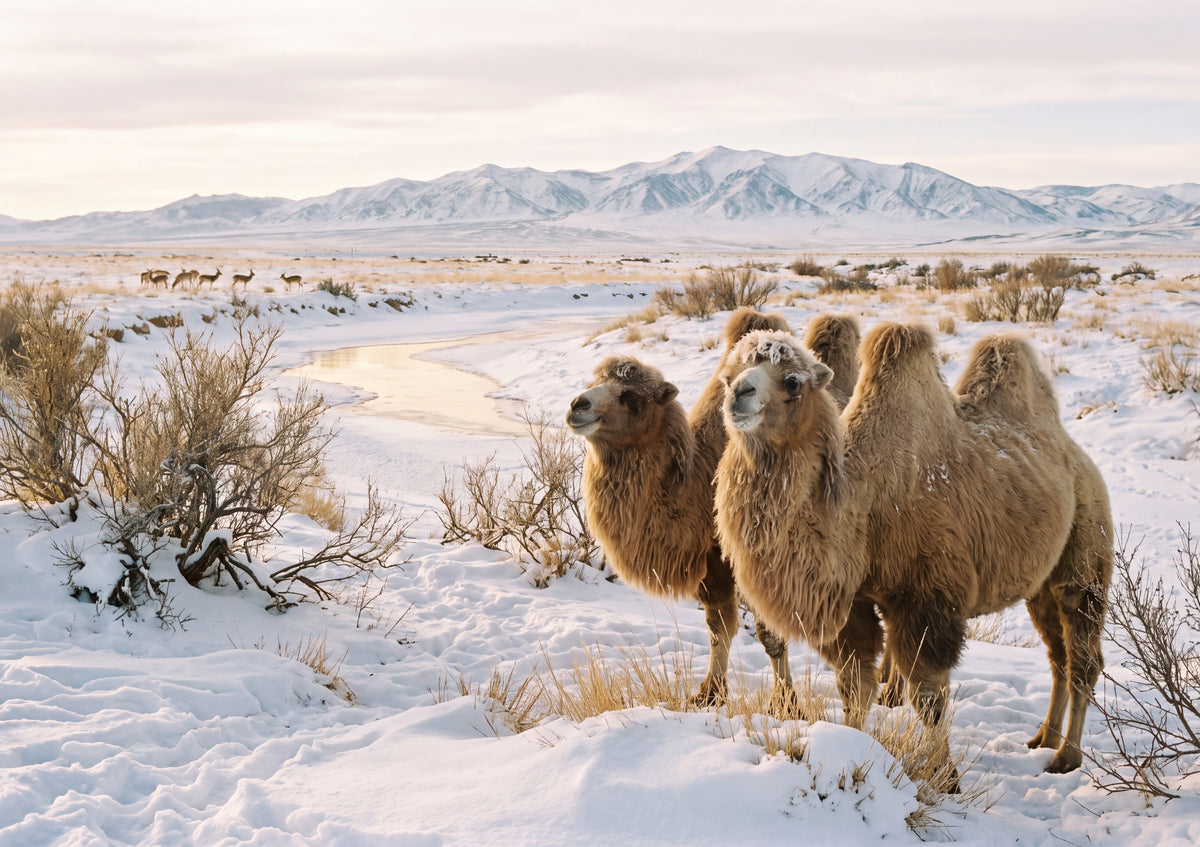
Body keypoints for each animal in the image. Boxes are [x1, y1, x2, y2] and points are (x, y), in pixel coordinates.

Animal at [566, 308, 860, 710]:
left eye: (630, 396)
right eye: (594, 380)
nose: (577, 405)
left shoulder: (759, 557)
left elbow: (769, 634)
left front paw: (787, 704)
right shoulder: (714, 563)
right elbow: (718, 628)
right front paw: (709, 694)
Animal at [713, 323, 1112, 778]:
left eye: (793, 382)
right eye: (727, 376)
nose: (738, 394)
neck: (862, 505)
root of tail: (1075, 455)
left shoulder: (927, 598)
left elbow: (928, 697)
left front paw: (945, 776)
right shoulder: (852, 603)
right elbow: (855, 687)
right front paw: (850, 748)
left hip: (1086, 549)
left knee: (1082, 656)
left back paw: (1067, 757)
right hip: (1039, 584)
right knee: (1057, 655)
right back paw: (1043, 737)